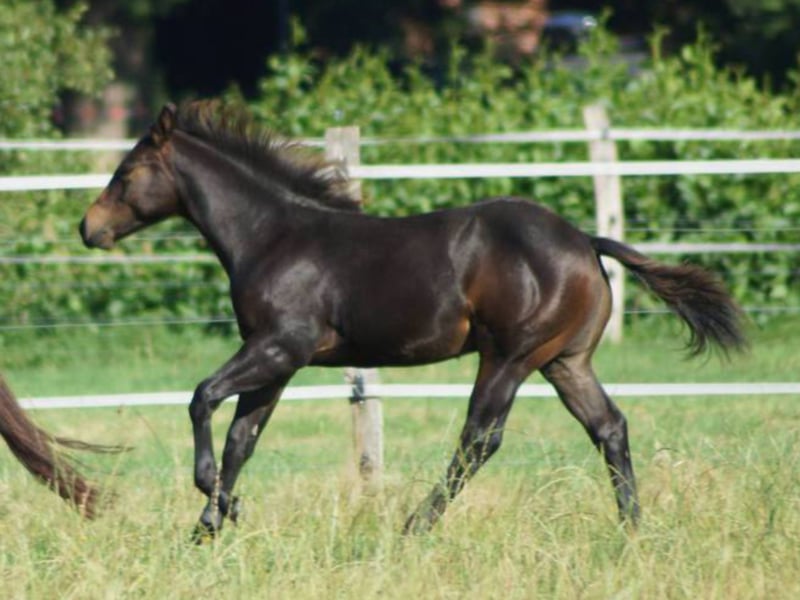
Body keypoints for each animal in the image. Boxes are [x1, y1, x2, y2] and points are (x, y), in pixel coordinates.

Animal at [79, 100, 746, 539]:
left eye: (126, 173)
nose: (90, 228)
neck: (272, 236)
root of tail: (585, 240)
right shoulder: (279, 363)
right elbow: (243, 438)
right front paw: (212, 524)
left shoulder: (279, 347)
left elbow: (201, 398)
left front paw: (215, 505)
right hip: (564, 361)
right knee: (608, 427)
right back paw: (633, 528)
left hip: (508, 357)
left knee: (479, 439)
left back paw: (414, 525)